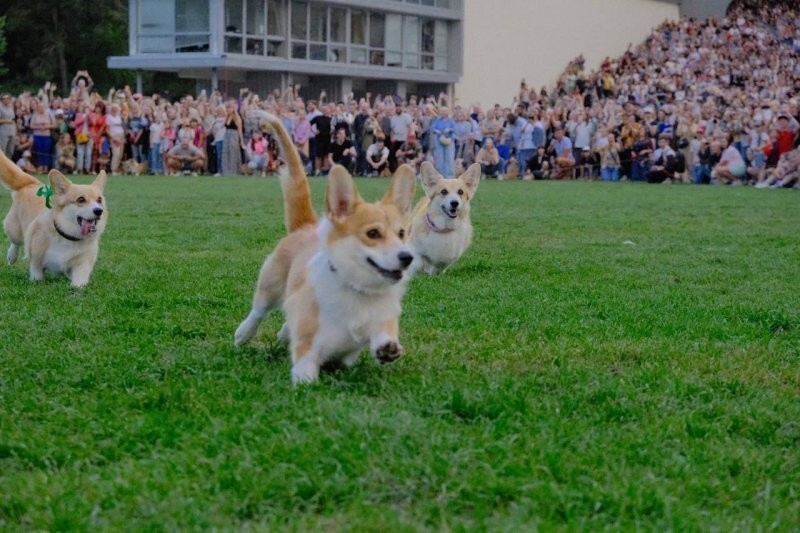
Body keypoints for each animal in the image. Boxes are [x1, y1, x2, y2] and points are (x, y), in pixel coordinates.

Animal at [0, 148, 109, 288]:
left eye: (99, 200)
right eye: (81, 199)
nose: (99, 211)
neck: (68, 236)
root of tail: (32, 183)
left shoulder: (82, 264)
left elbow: (78, 283)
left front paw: (76, 289)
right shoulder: (36, 261)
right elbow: (37, 275)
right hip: (15, 231)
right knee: (15, 242)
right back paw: (11, 256)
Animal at [233, 114, 416, 384]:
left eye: (402, 234)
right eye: (373, 233)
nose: (407, 258)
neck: (359, 291)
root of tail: (306, 225)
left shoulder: (380, 322)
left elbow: (381, 333)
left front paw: (387, 349)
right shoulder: (308, 344)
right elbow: (305, 365)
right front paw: (305, 381)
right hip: (271, 284)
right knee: (259, 310)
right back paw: (244, 333)